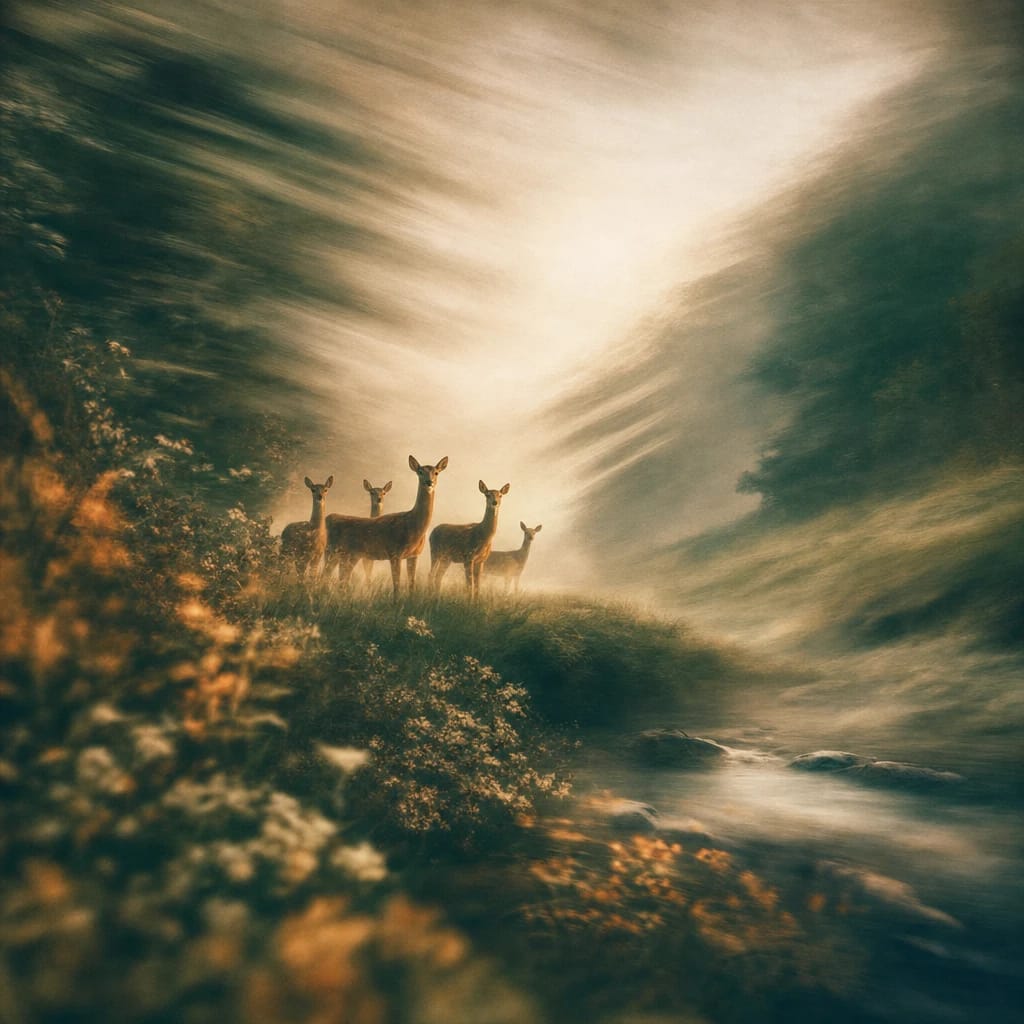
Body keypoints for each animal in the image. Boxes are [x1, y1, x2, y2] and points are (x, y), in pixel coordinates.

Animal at [326, 455, 448, 597]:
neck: (412, 525)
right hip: (332, 551)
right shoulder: (395, 552)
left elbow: (412, 584)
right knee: (327, 574)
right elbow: (397, 585)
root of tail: (329, 518)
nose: (429, 482)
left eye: (436, 472)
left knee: (341, 579)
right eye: (420, 472)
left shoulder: (414, 555)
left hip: (348, 555)